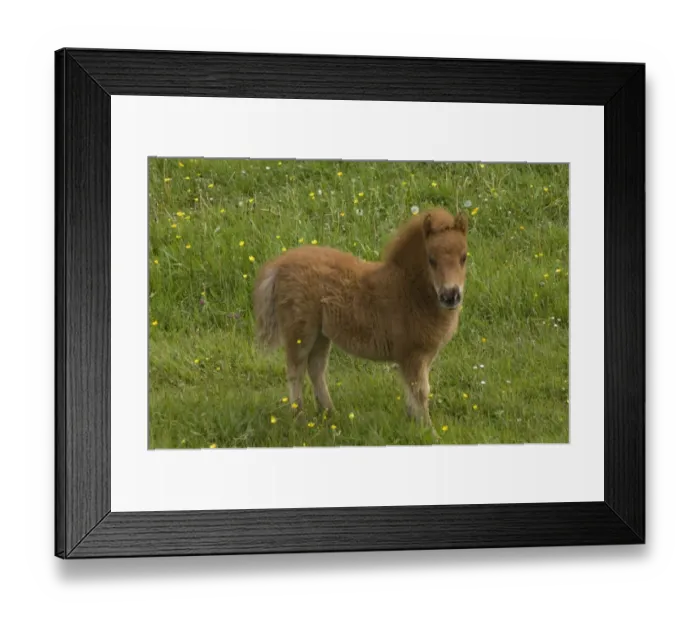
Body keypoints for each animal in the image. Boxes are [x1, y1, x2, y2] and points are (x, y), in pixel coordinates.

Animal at [252, 207, 468, 436]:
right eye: (431, 259)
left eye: (464, 257)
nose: (451, 296)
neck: (409, 291)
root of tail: (278, 266)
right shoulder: (412, 355)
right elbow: (421, 391)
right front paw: (430, 432)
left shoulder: (420, 357)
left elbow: (413, 391)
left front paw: (412, 422)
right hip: (300, 331)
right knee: (296, 370)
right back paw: (300, 420)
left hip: (321, 334)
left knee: (316, 367)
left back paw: (330, 413)